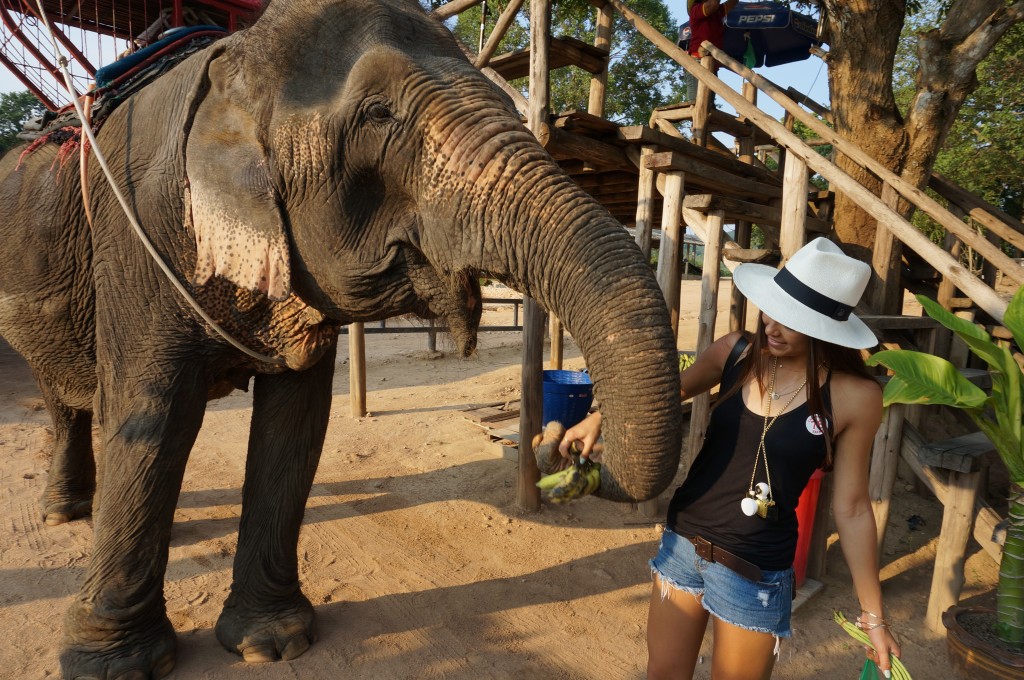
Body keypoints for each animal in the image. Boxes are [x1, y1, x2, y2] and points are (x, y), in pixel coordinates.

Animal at [0, 0, 682, 677]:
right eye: (379, 115)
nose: (573, 449)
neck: (234, 63)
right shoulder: (139, 232)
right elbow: (151, 416)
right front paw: (113, 666)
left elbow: (296, 423)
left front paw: (273, 644)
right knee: (67, 399)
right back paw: (65, 513)